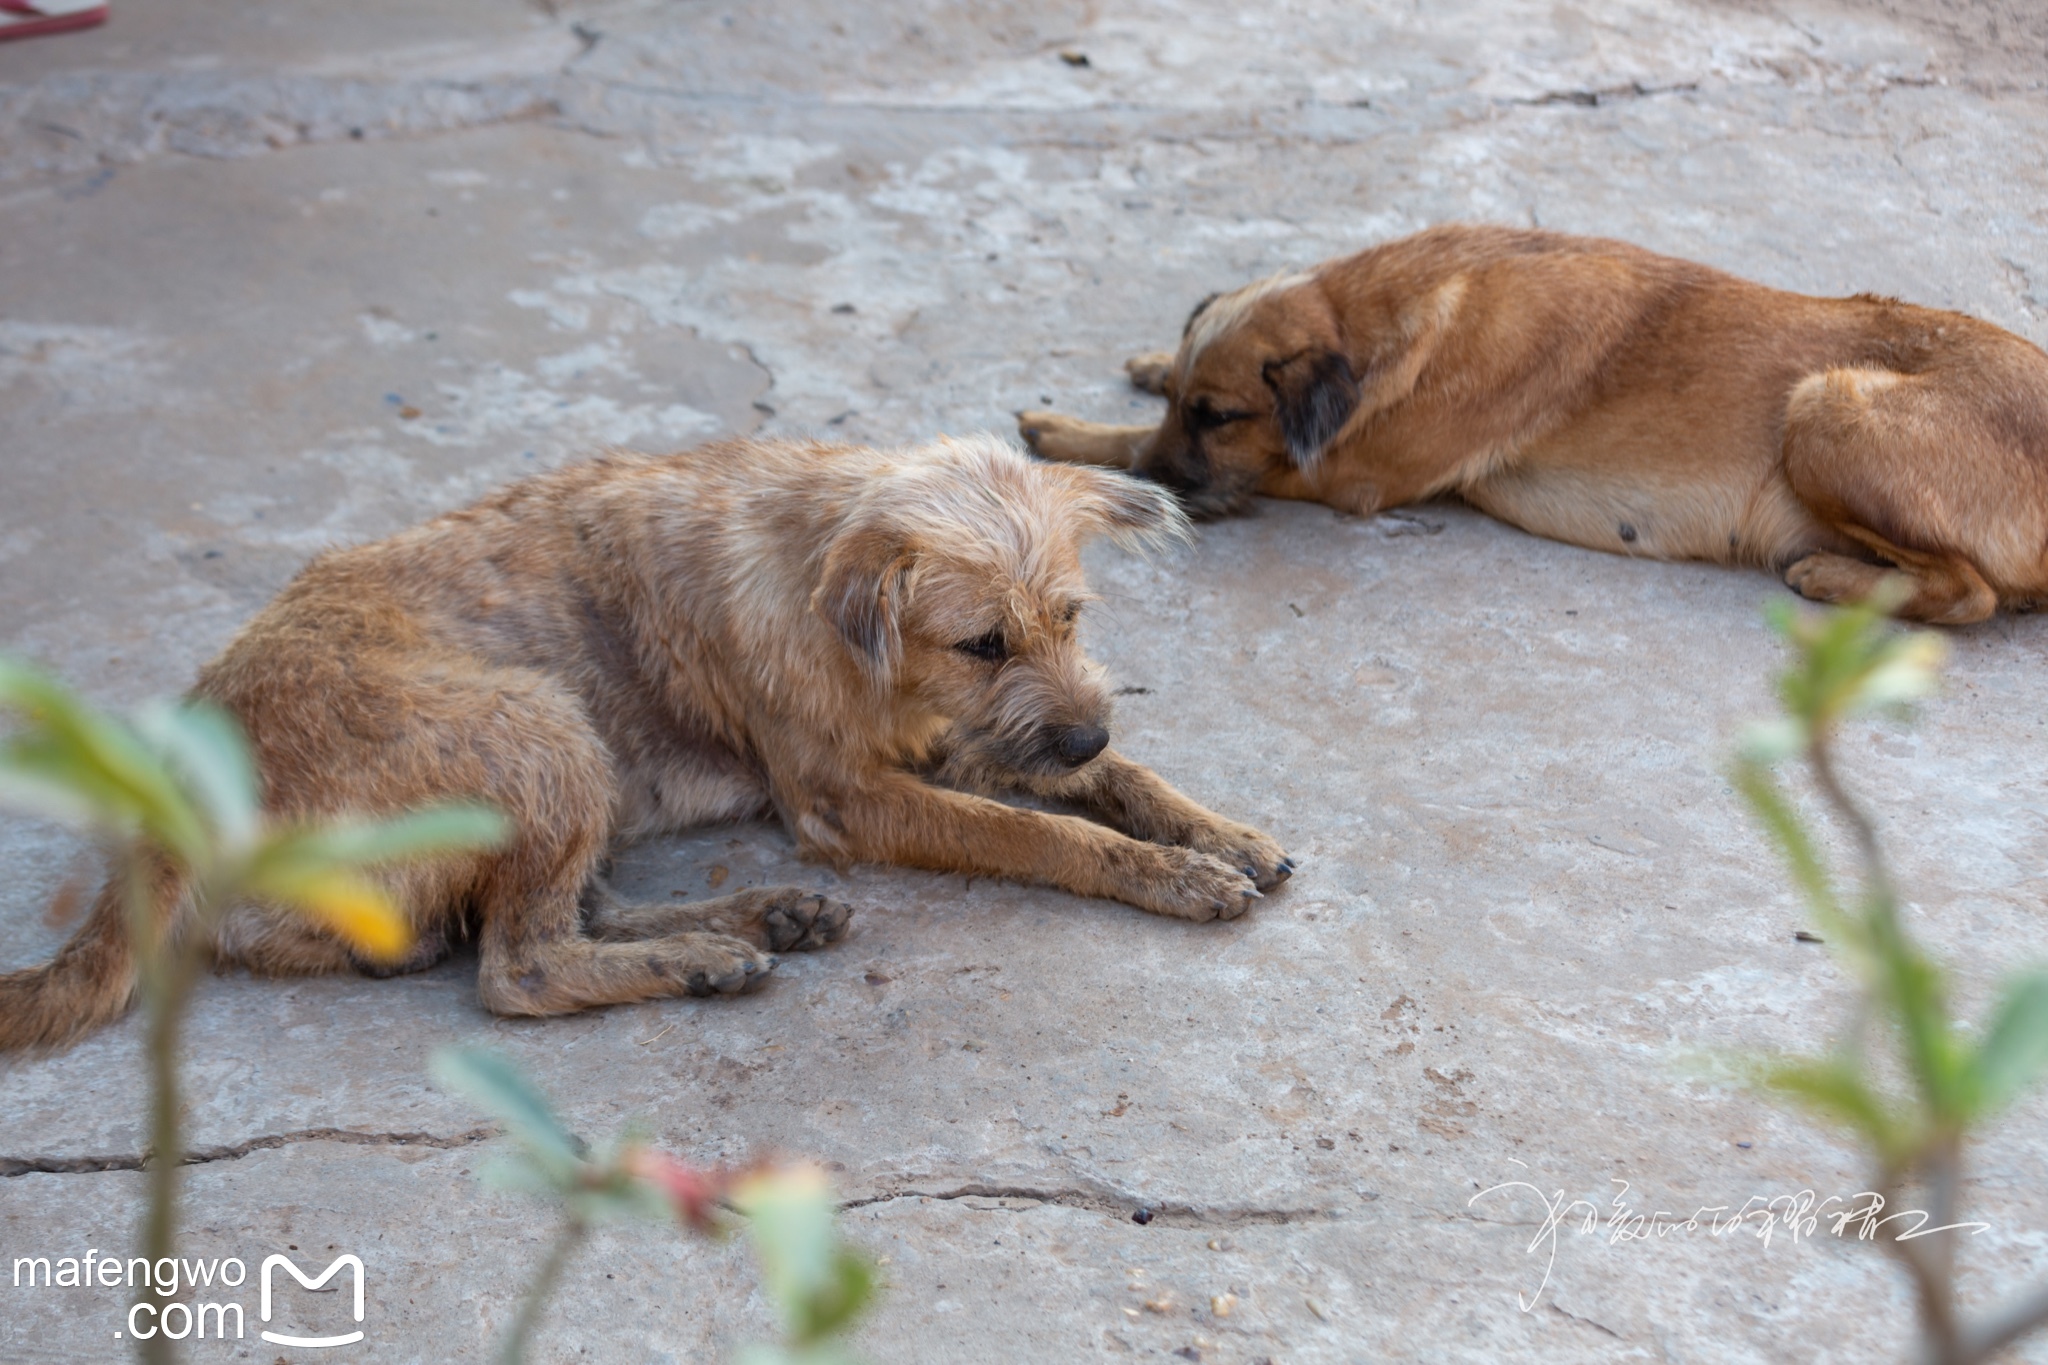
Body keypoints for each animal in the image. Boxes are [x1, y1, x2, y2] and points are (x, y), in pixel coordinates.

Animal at [0, 431, 1286, 1055]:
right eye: (981, 641)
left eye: (1070, 616)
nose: (1078, 726)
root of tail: (170, 801)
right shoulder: (852, 797)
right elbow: (1035, 834)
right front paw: (1166, 873)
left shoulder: (961, 739)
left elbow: (1115, 778)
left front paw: (1210, 829)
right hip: (541, 729)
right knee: (516, 966)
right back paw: (703, 957)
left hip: (574, 764)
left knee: (556, 914)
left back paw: (754, 921)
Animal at [1024, 224, 2048, 626]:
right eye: (1184, 404)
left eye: (1221, 418)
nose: (1176, 471)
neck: (1379, 313)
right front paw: (1144, 363)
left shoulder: (1351, 473)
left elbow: (1139, 452)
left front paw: (1072, 441)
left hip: (1824, 403)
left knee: (1970, 593)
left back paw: (1836, 576)